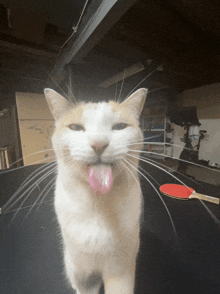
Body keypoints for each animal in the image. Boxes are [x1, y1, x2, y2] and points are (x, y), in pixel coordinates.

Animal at [43, 87, 148, 294]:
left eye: (120, 126)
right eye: (75, 128)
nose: (99, 143)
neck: (98, 203)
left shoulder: (120, 271)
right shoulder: (85, 274)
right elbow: (84, 286)